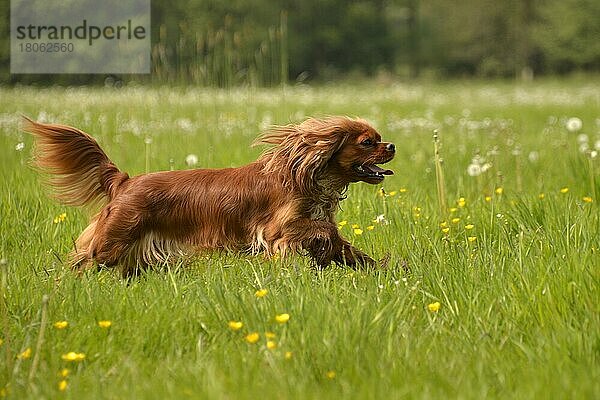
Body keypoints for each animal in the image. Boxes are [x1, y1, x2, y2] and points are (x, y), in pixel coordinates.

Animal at [27, 117, 394, 276]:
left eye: (379, 139)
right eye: (367, 142)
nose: (391, 145)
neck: (305, 174)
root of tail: (124, 181)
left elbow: (345, 247)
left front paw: (386, 269)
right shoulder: (279, 230)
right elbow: (318, 232)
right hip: (112, 243)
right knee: (81, 263)